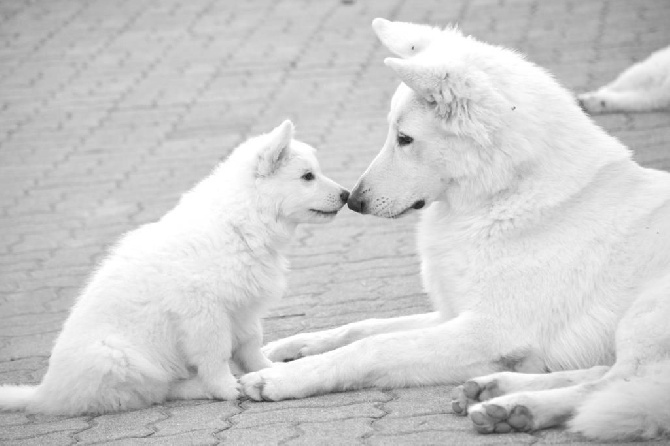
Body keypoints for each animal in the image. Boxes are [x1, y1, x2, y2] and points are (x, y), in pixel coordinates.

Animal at [0, 119, 350, 414]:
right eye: (307, 177)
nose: (347, 195)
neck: (240, 222)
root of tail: (46, 393)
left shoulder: (241, 307)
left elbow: (251, 344)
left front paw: (269, 372)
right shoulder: (203, 313)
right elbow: (216, 354)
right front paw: (226, 387)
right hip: (119, 358)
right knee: (161, 390)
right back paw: (201, 388)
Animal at [238, 18, 670, 442]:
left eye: (404, 139)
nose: (353, 201)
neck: (507, 193)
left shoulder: (488, 330)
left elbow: (371, 347)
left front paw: (279, 378)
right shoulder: (453, 314)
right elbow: (361, 328)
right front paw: (289, 348)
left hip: (645, 314)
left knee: (616, 383)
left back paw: (521, 406)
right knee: (604, 374)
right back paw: (498, 393)